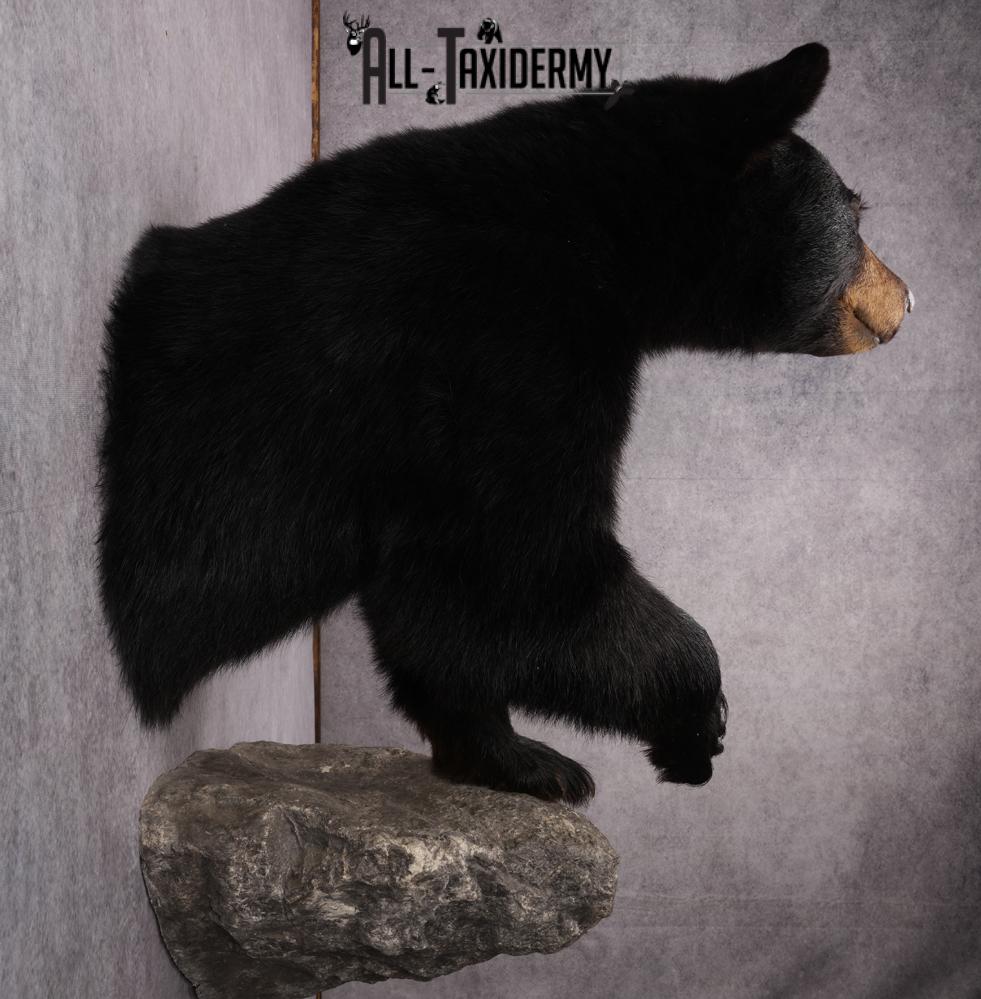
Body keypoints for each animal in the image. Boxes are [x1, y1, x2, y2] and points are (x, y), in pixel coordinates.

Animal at [97, 43, 912, 805]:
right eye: (856, 211)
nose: (907, 298)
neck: (607, 226)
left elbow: (435, 601)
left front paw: (513, 757)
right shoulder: (501, 344)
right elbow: (515, 561)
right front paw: (692, 724)